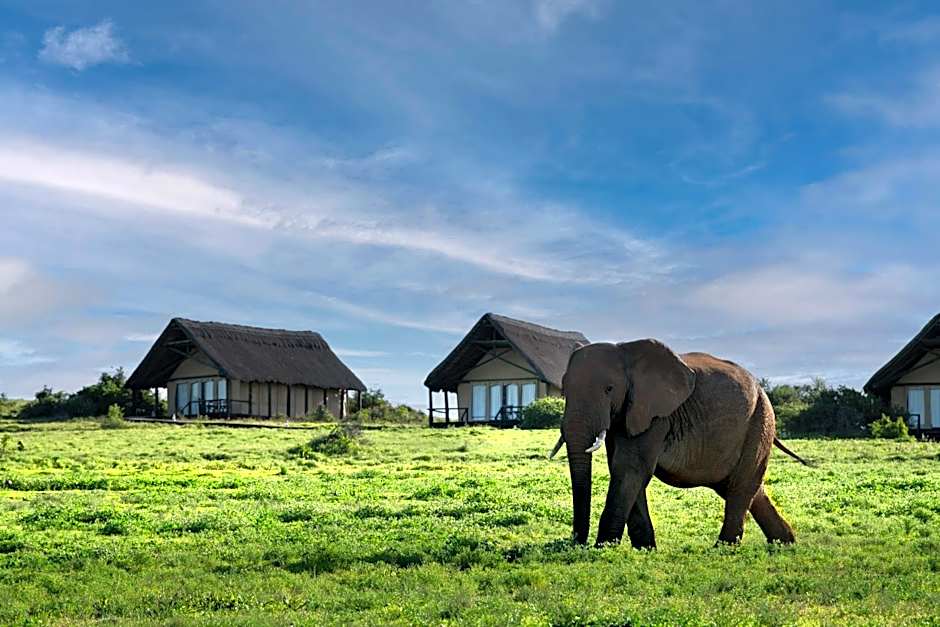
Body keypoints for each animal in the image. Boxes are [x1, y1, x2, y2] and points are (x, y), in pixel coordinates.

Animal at [548, 339, 807, 548]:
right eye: (564, 389)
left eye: (609, 389)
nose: (577, 543)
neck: (625, 351)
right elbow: (624, 469)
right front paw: (644, 550)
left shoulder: (656, 414)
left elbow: (630, 468)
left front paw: (604, 548)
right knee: (743, 488)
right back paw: (785, 543)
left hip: (760, 422)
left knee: (741, 487)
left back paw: (722, 550)